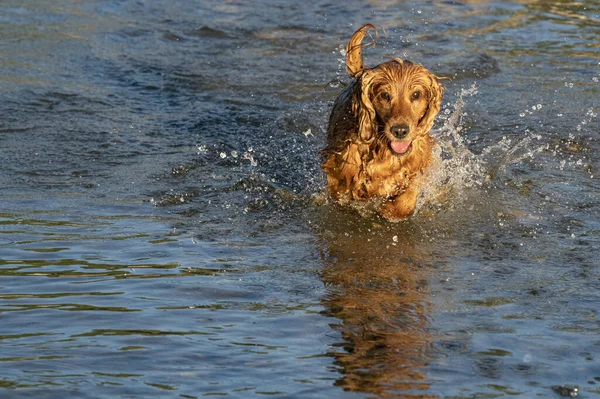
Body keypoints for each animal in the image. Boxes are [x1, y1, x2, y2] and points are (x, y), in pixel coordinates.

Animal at [324, 24, 446, 222]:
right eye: (385, 95)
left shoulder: (420, 161)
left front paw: (392, 210)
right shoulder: (339, 166)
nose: (400, 131)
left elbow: (408, 194)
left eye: (416, 94)